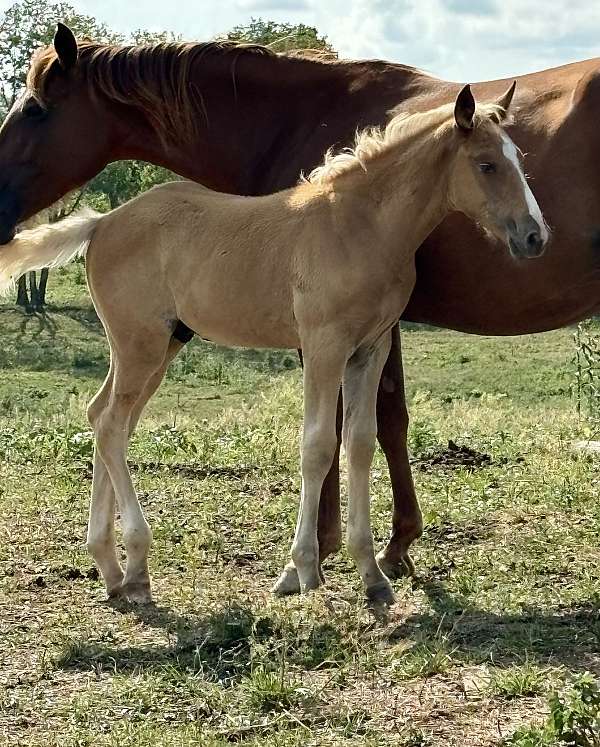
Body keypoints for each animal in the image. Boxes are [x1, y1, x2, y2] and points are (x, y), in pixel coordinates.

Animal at [0, 84, 548, 604]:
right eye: (486, 164)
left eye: (520, 159)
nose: (536, 237)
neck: (360, 226)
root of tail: (101, 224)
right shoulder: (324, 346)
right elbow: (318, 445)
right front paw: (303, 568)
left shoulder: (369, 349)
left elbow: (361, 443)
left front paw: (371, 576)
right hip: (142, 345)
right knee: (113, 424)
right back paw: (136, 565)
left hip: (157, 345)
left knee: (103, 418)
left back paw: (113, 571)